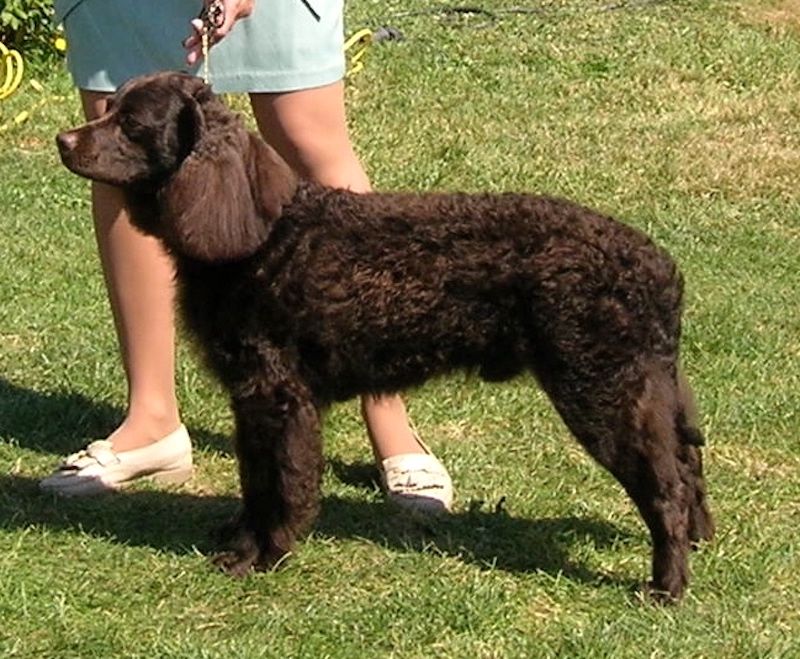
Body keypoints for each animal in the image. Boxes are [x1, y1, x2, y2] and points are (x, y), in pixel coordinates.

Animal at [59, 72, 716, 604]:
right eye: (107, 107)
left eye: (134, 124)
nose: (64, 140)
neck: (263, 235)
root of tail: (662, 270)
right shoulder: (251, 399)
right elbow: (254, 480)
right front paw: (242, 538)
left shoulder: (277, 396)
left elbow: (282, 484)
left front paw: (262, 555)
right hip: (646, 390)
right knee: (688, 468)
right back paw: (699, 542)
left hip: (601, 391)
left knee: (665, 488)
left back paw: (666, 586)